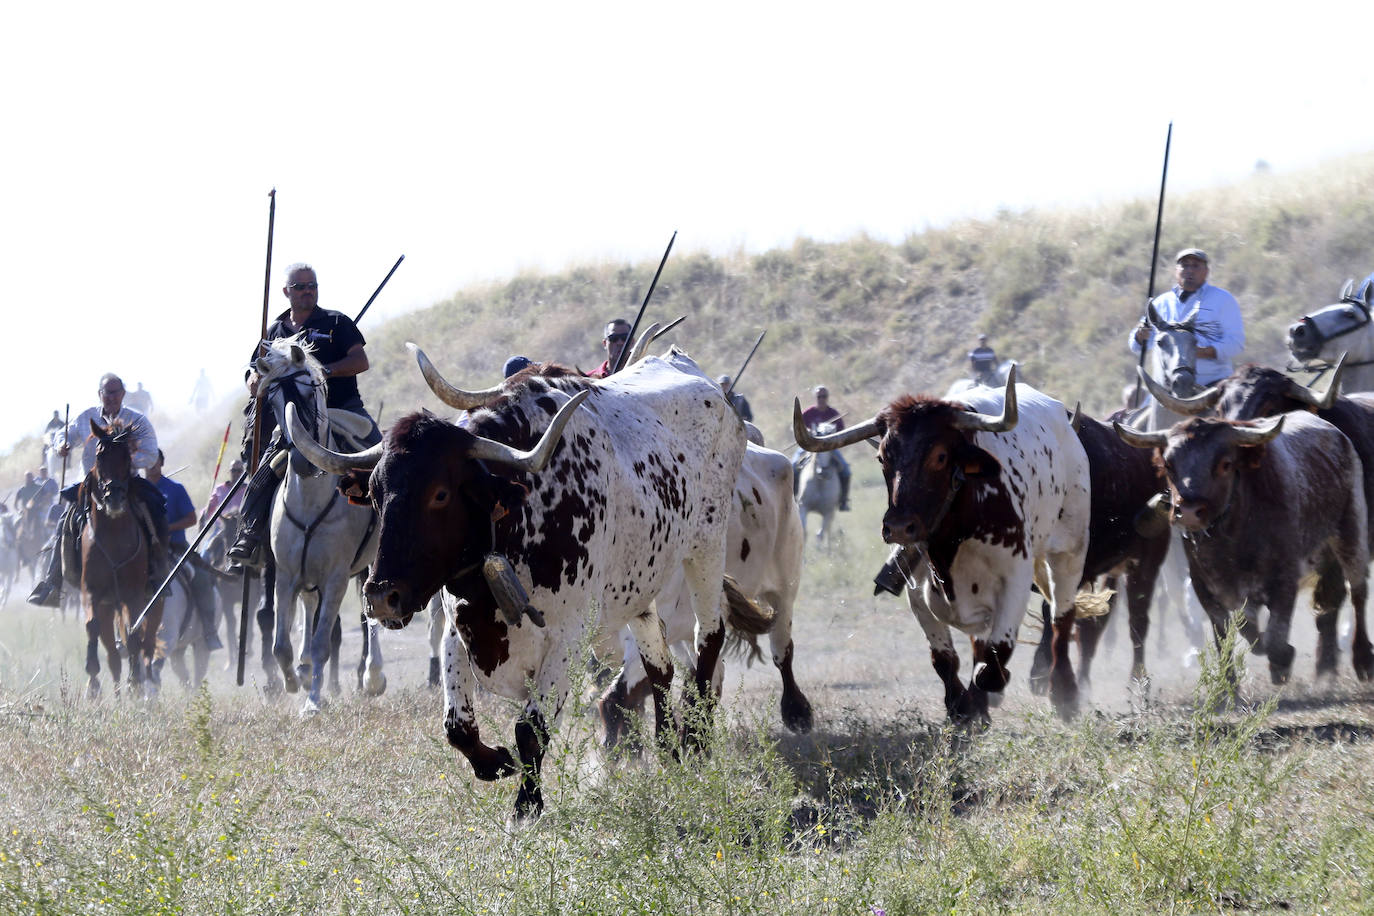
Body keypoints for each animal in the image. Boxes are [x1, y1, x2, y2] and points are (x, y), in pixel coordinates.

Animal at [78, 420, 162, 703]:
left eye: (127, 457)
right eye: (99, 456)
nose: (114, 497)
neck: (114, 536)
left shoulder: (133, 595)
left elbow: (134, 634)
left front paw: (135, 682)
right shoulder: (91, 593)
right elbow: (91, 627)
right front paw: (92, 683)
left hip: (154, 602)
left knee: (146, 643)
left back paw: (144, 684)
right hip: (108, 608)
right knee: (114, 655)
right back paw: (116, 692)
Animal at [256, 339, 387, 714]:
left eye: (308, 391)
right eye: (272, 400)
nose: (301, 461)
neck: (311, 501)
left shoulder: (336, 579)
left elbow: (321, 643)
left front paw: (313, 702)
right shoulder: (285, 575)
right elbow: (280, 645)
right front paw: (292, 680)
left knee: (370, 610)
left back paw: (373, 676)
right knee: (308, 605)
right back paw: (302, 670)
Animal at [287, 343, 741, 818]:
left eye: (440, 494)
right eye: (375, 493)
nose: (381, 597)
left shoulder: (566, 639)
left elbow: (530, 729)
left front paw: (526, 809)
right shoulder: (456, 632)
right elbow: (457, 726)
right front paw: (497, 763)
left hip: (706, 548)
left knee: (708, 640)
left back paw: (697, 743)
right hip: (640, 584)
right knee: (660, 666)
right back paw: (668, 748)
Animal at [791, 420, 840, 549]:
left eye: (832, 451)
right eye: (817, 453)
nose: (824, 472)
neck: (819, 483)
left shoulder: (828, 512)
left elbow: (820, 534)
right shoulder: (803, 507)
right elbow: (804, 533)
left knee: (828, 533)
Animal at [1137, 357, 1374, 681]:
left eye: (1270, 404)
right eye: (1221, 406)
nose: (1188, 510)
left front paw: (1291, 659)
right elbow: (1248, 626)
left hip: (1351, 536)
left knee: (1356, 592)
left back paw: (1359, 658)